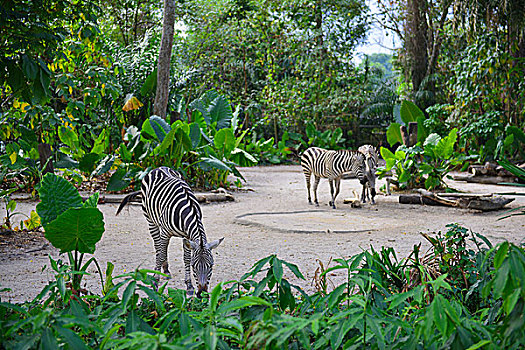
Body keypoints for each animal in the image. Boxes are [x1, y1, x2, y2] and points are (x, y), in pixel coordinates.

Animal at [116, 165, 223, 296]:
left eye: (211, 266)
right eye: (194, 266)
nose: (202, 294)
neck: (188, 211)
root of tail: (159, 167)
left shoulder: (187, 236)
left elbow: (186, 258)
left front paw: (189, 286)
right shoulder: (166, 233)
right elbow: (161, 254)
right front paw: (155, 283)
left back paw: (166, 270)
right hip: (151, 221)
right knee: (158, 248)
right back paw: (159, 271)